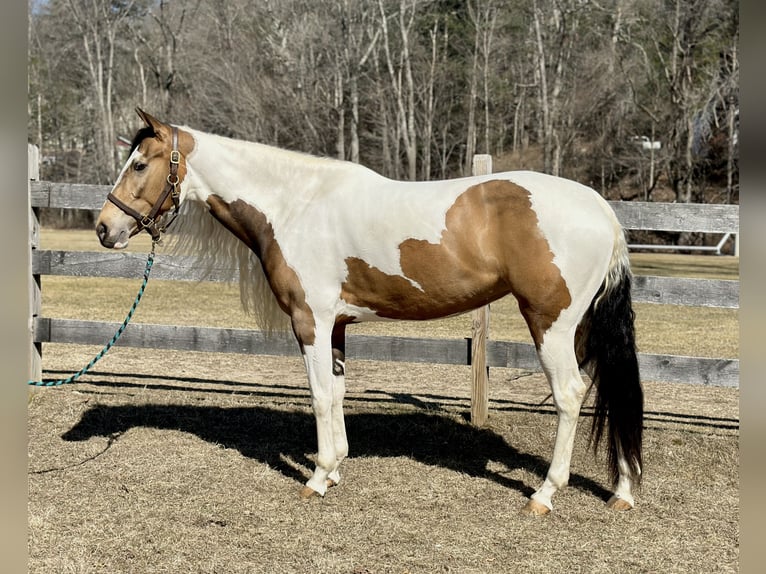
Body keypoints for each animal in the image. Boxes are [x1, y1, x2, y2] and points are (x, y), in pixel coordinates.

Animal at [99, 109, 644, 516]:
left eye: (140, 164)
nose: (105, 228)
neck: (296, 205)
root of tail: (600, 207)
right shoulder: (337, 326)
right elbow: (338, 393)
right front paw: (335, 469)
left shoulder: (311, 322)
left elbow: (320, 396)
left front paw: (317, 477)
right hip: (581, 327)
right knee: (610, 389)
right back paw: (622, 490)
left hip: (551, 324)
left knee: (571, 394)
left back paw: (545, 494)